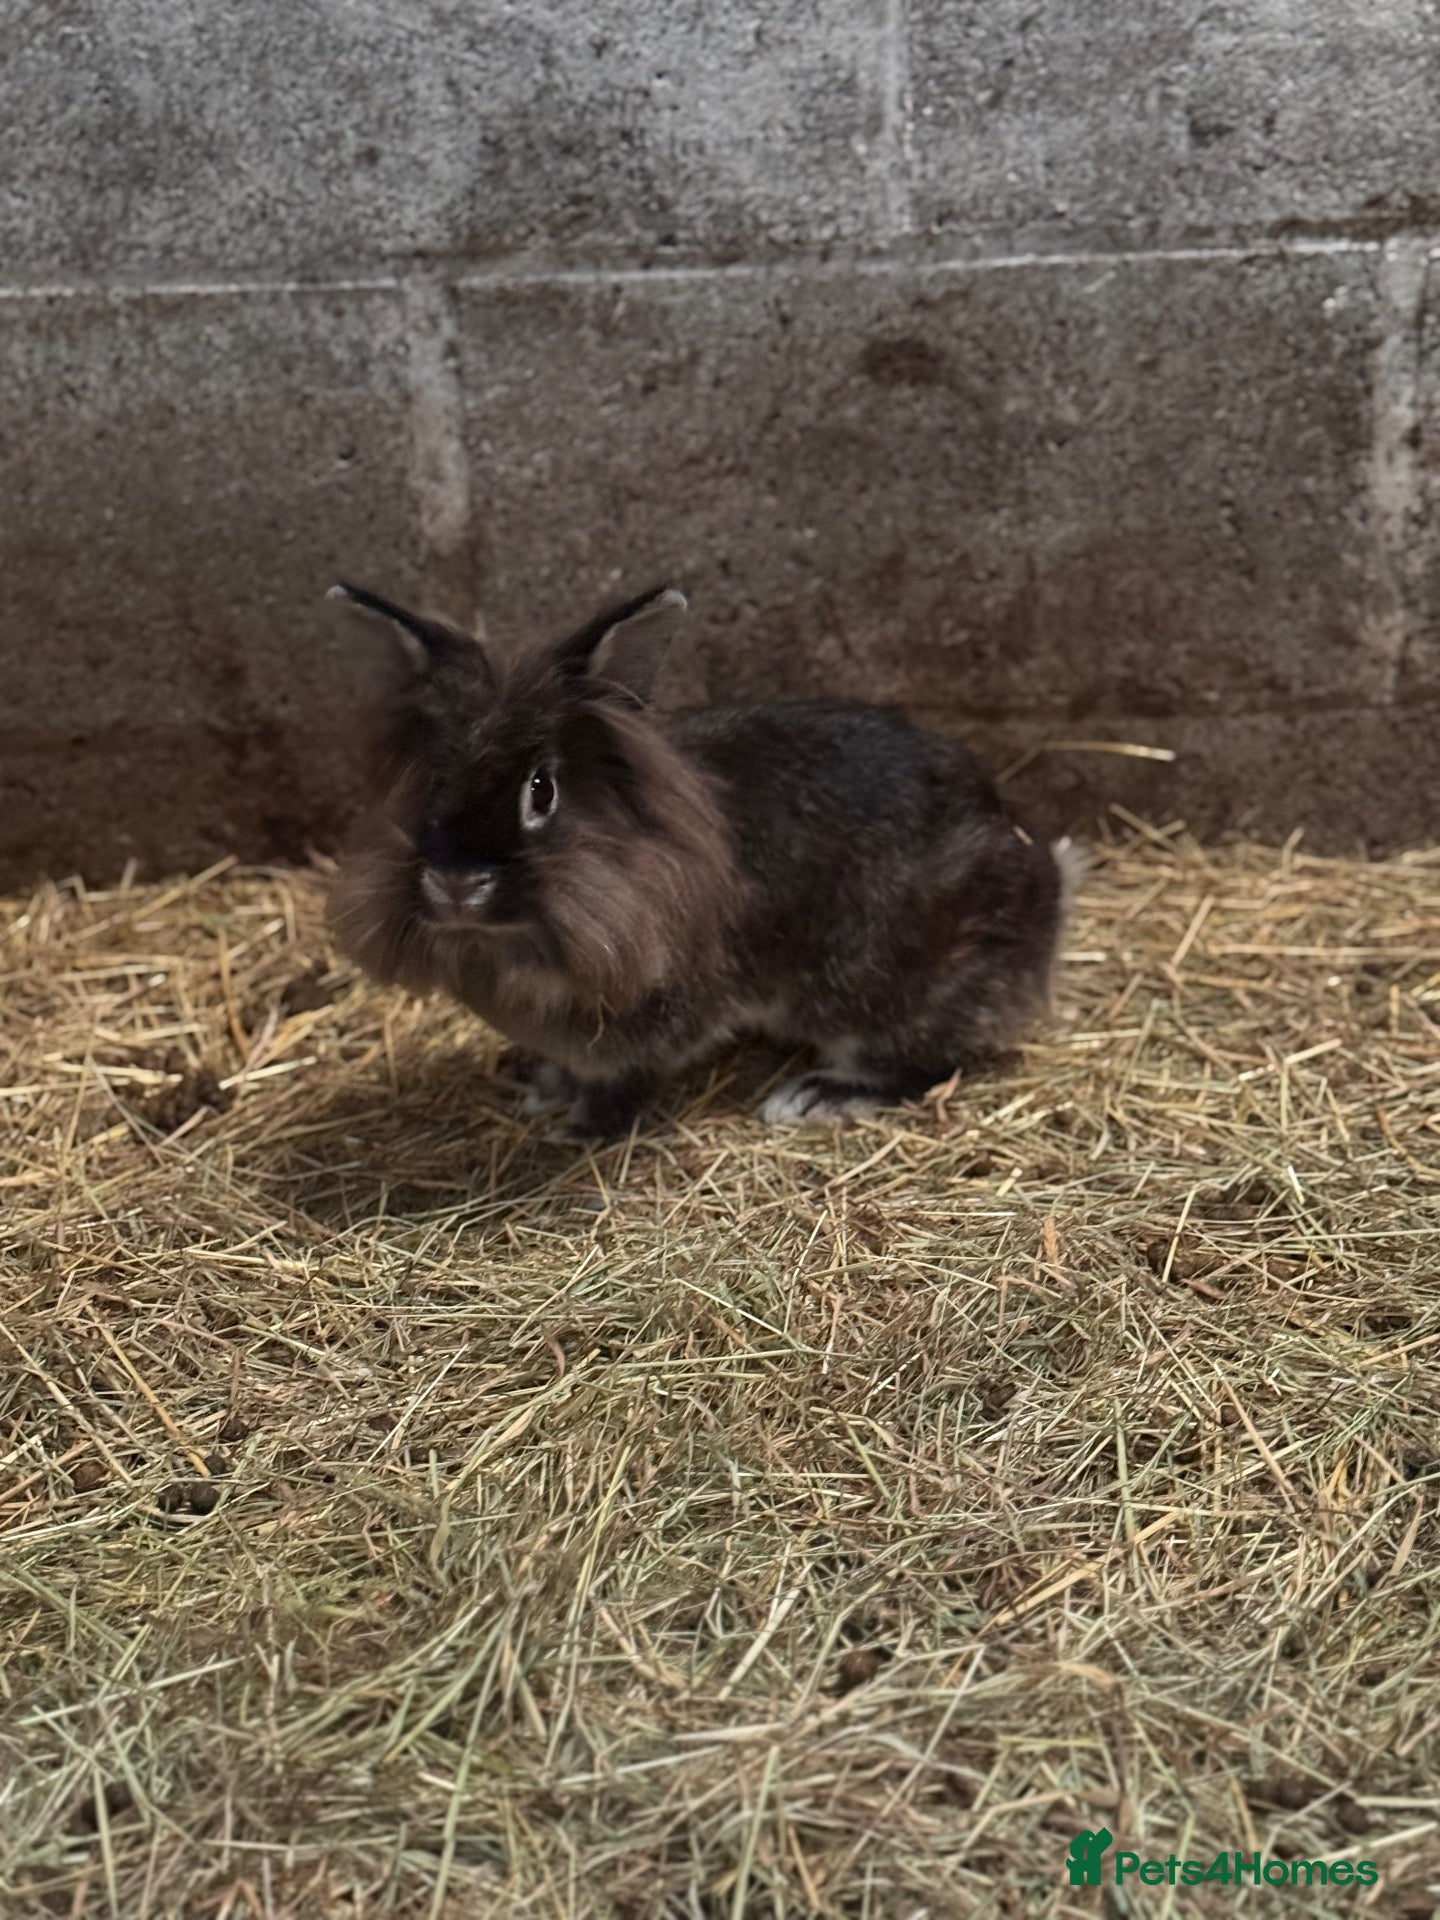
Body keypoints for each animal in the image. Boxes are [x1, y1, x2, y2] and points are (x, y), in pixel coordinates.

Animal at [325, 580, 1083, 1137]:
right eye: (430, 781)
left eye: (541, 791)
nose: (457, 884)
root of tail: (1045, 880)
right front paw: (547, 1089)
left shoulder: (658, 1021)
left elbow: (624, 1081)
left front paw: (580, 1129)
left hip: (879, 990)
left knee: (925, 1062)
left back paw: (817, 1096)